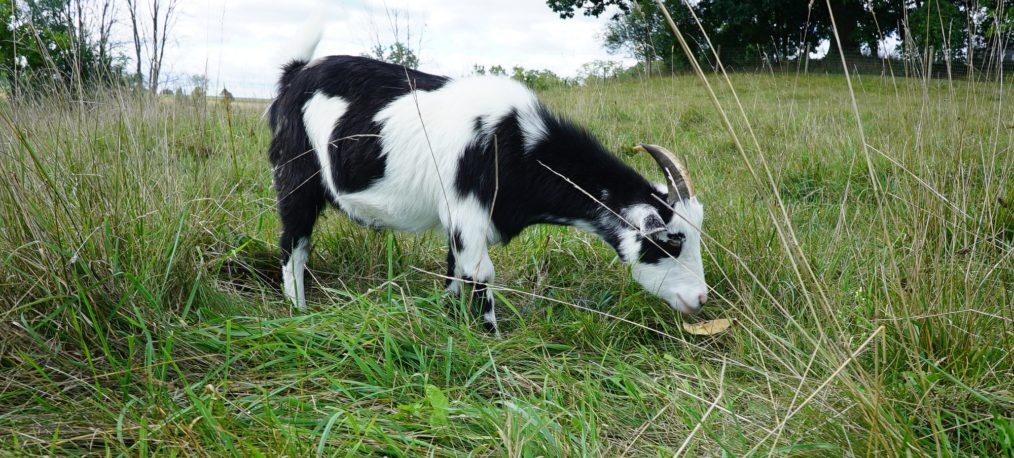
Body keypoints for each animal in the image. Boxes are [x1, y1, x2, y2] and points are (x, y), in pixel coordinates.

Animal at [265, 37, 709, 330]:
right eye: (671, 240)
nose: (700, 298)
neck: (517, 142)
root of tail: (295, 73)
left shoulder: (459, 219)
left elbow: (455, 271)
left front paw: (448, 319)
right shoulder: (468, 211)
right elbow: (481, 274)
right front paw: (489, 338)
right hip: (295, 176)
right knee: (293, 242)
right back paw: (298, 310)